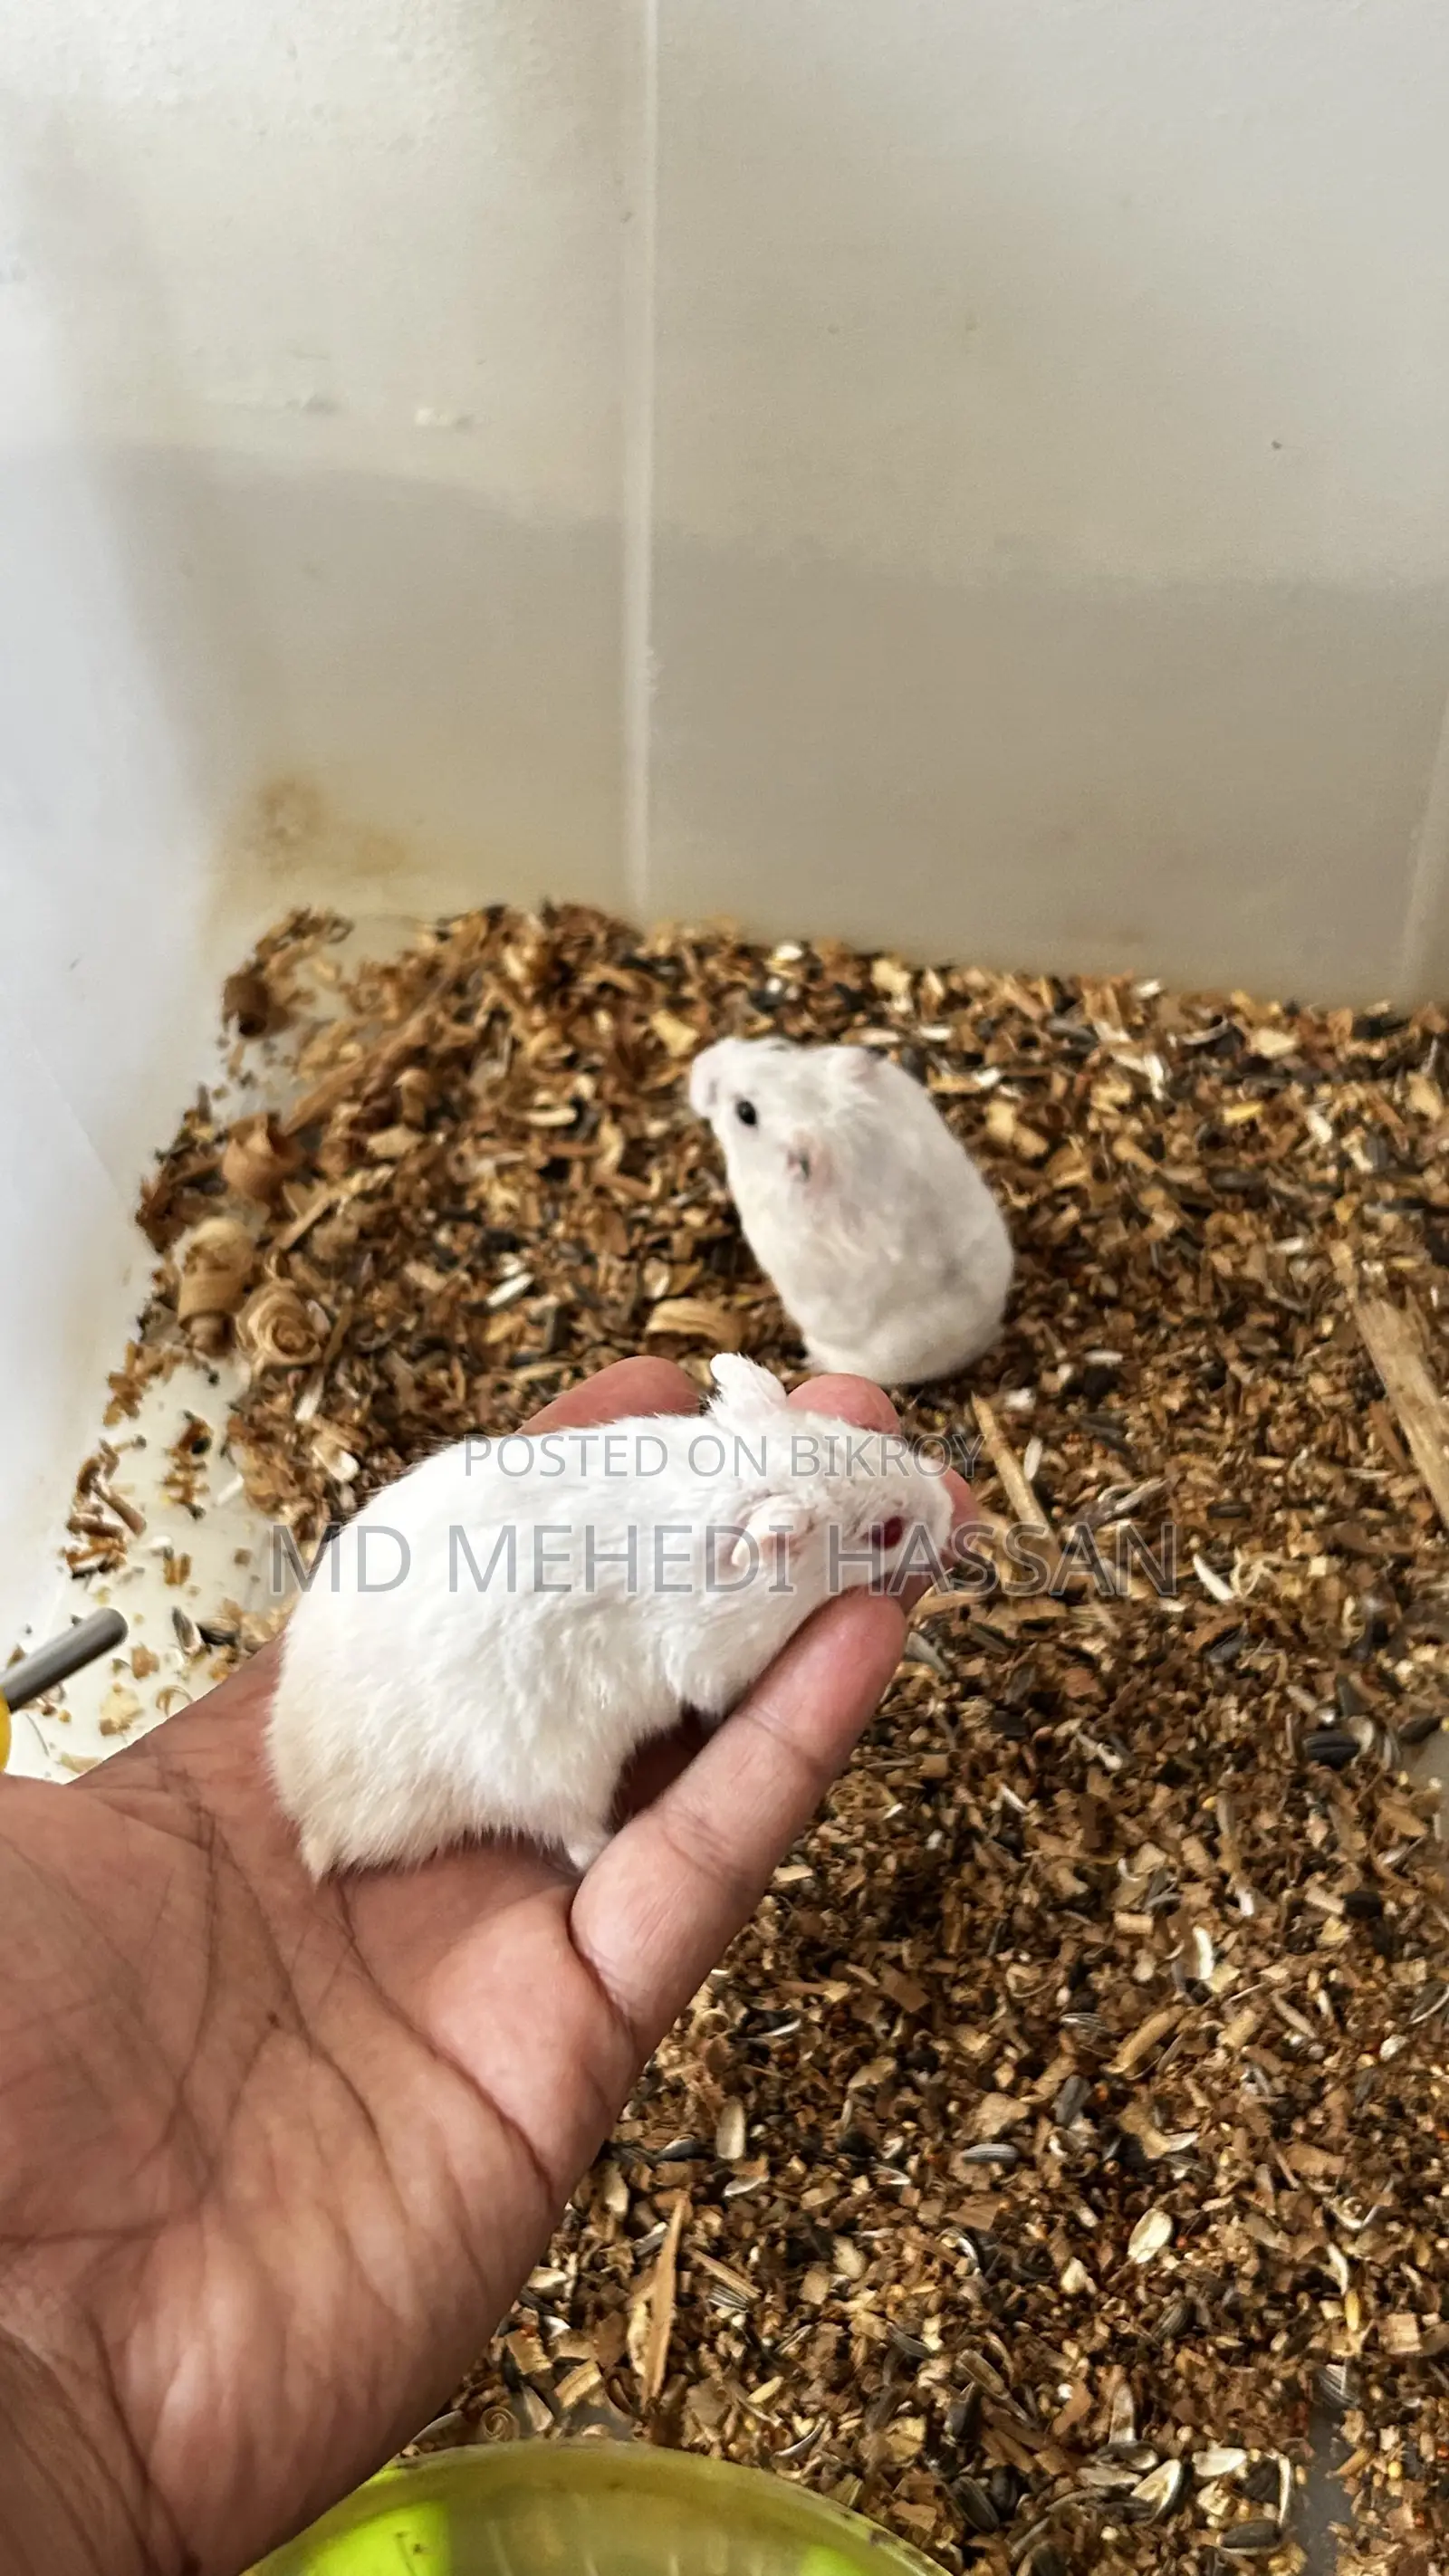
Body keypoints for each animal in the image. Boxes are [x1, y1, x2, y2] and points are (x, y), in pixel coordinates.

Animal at [266, 1353, 953, 1879]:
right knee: (576, 1840)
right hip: (554, 1778)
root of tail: (320, 1819)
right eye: (887, 1532)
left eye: (863, 1433)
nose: (950, 1510)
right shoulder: (715, 1661)